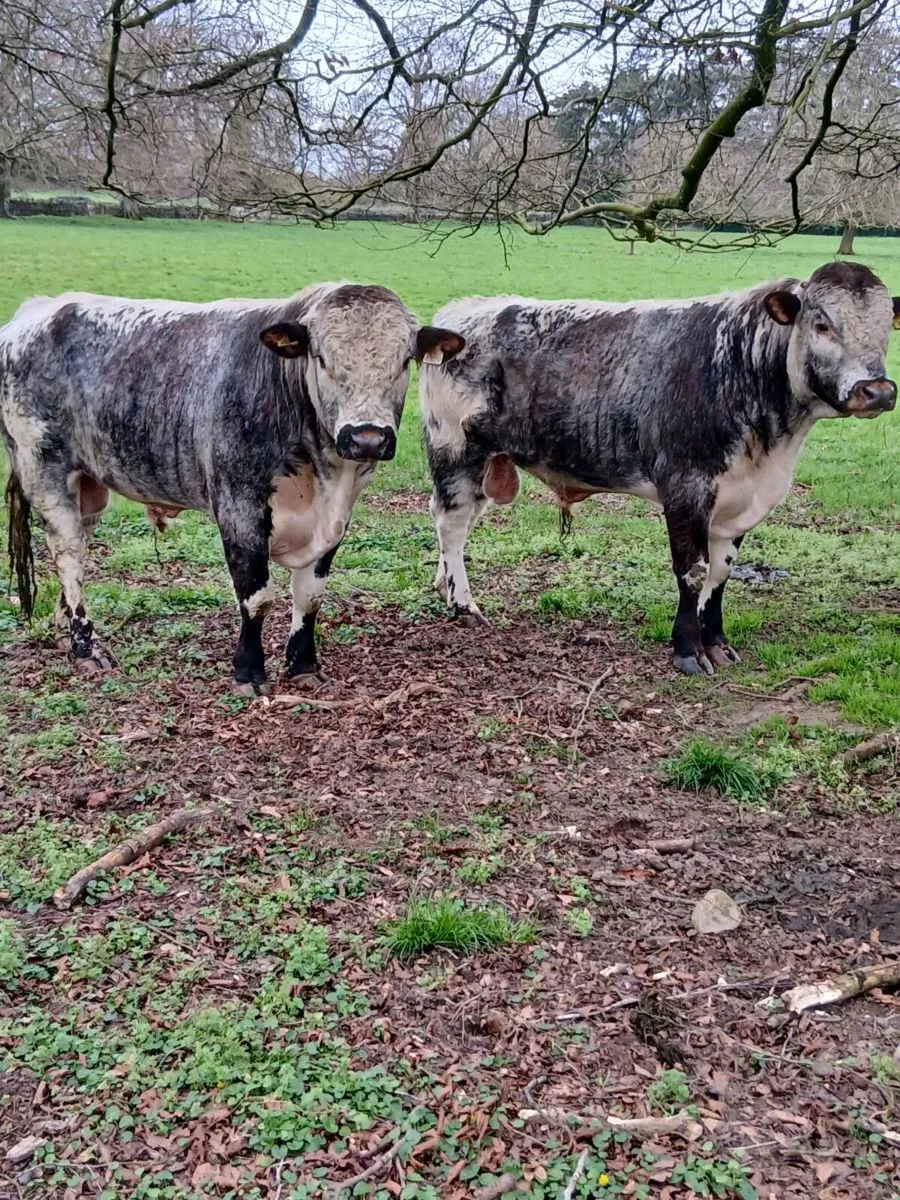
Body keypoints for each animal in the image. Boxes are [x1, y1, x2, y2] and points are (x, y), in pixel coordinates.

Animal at [1, 283, 465, 693]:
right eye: (321, 358)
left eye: (404, 361)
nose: (367, 438)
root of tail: (36, 310)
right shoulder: (239, 508)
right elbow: (257, 597)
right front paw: (249, 672)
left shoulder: (335, 519)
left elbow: (310, 596)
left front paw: (303, 665)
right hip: (44, 470)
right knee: (68, 555)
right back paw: (86, 646)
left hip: (89, 487)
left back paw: (63, 628)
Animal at [420, 262, 900, 675]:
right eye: (822, 325)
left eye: (884, 329)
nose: (877, 391)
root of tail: (462, 310)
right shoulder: (686, 489)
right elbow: (693, 572)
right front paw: (688, 652)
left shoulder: (737, 500)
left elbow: (720, 573)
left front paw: (717, 644)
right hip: (456, 452)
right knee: (452, 525)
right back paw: (464, 605)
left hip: (487, 467)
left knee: (457, 523)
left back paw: (445, 588)